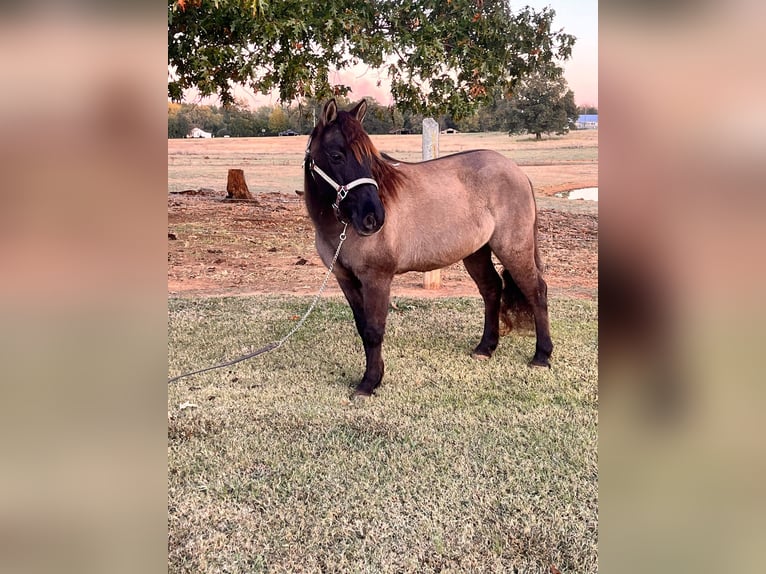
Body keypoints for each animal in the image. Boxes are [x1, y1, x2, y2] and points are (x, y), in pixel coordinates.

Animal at [304, 99, 552, 398]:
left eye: (369, 159)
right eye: (336, 156)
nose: (374, 218)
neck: (342, 226)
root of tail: (518, 171)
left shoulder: (377, 278)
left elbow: (374, 330)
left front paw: (369, 383)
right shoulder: (345, 279)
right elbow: (363, 327)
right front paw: (375, 375)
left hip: (514, 248)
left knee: (536, 291)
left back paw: (542, 356)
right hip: (476, 252)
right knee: (492, 289)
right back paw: (485, 348)